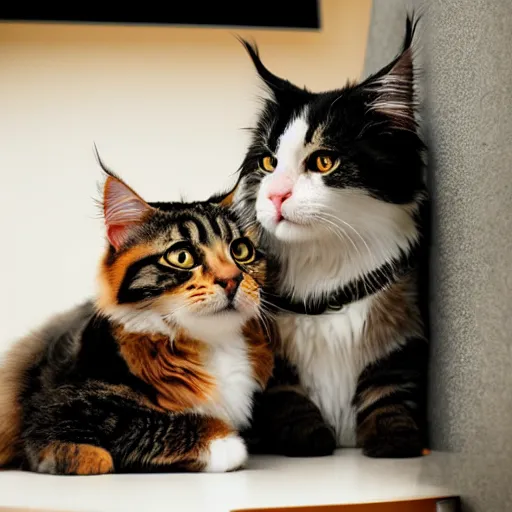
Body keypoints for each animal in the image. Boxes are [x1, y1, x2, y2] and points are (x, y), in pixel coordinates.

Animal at [0, 165, 272, 476]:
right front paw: (225, 442)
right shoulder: (57, 412)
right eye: (182, 256)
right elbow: (138, 425)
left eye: (241, 251)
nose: (232, 279)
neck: (212, 344)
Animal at [214, 18, 430, 458]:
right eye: (269, 163)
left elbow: (388, 391)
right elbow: (287, 395)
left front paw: (395, 440)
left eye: (324, 161)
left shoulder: (403, 334)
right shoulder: (268, 350)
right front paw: (309, 439)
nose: (276, 196)